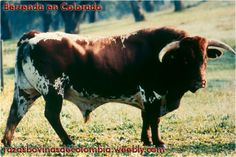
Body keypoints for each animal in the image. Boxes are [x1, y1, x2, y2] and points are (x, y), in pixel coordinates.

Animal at [0, 27, 235, 151]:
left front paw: (146, 140)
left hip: (25, 91)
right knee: (51, 115)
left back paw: (8, 143)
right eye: (185, 59)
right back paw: (69, 141)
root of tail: (34, 36)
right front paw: (158, 142)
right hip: (53, 90)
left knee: (15, 114)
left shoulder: (147, 98)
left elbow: (146, 119)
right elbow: (154, 120)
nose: (200, 82)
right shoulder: (152, 94)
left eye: (205, 58)